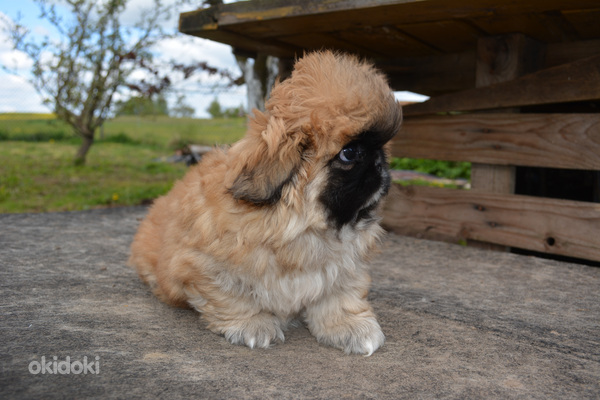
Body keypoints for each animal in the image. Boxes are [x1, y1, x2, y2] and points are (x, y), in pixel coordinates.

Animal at [131, 50, 404, 356]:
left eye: (382, 148)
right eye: (350, 153)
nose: (381, 164)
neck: (301, 230)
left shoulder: (346, 268)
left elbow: (340, 298)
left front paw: (351, 327)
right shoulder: (201, 266)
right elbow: (233, 296)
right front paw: (253, 324)